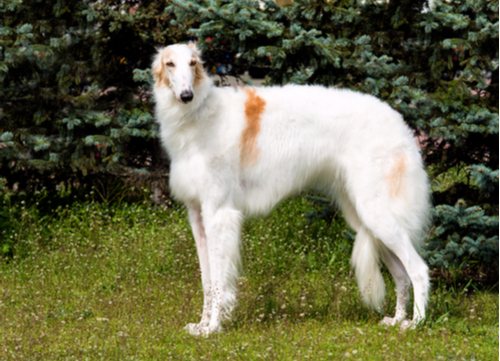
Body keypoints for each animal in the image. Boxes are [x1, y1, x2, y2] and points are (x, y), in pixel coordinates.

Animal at [151, 44, 430, 334]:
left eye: (192, 63)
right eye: (170, 64)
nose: (186, 95)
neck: (199, 115)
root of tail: (402, 125)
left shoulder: (218, 213)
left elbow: (218, 281)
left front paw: (214, 327)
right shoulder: (197, 214)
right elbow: (207, 279)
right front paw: (201, 325)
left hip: (377, 213)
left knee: (418, 269)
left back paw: (416, 323)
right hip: (367, 217)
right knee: (401, 274)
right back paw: (397, 320)